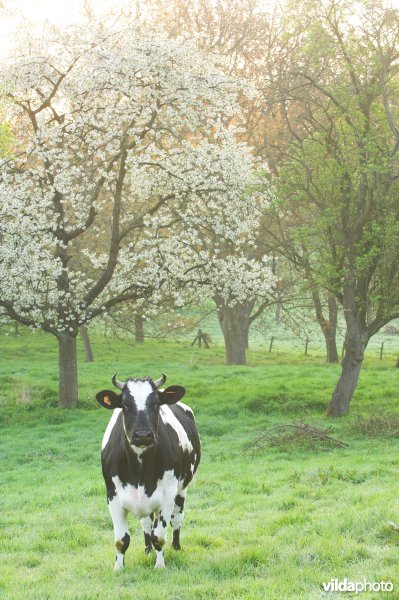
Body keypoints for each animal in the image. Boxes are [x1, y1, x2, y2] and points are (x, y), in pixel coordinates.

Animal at [95, 372, 202, 568]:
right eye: (125, 405)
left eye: (156, 404)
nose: (143, 435)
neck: (139, 469)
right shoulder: (112, 495)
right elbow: (121, 540)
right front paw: (118, 568)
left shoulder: (167, 495)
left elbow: (159, 536)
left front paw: (160, 566)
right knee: (146, 522)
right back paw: (147, 550)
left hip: (182, 489)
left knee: (177, 518)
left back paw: (176, 547)